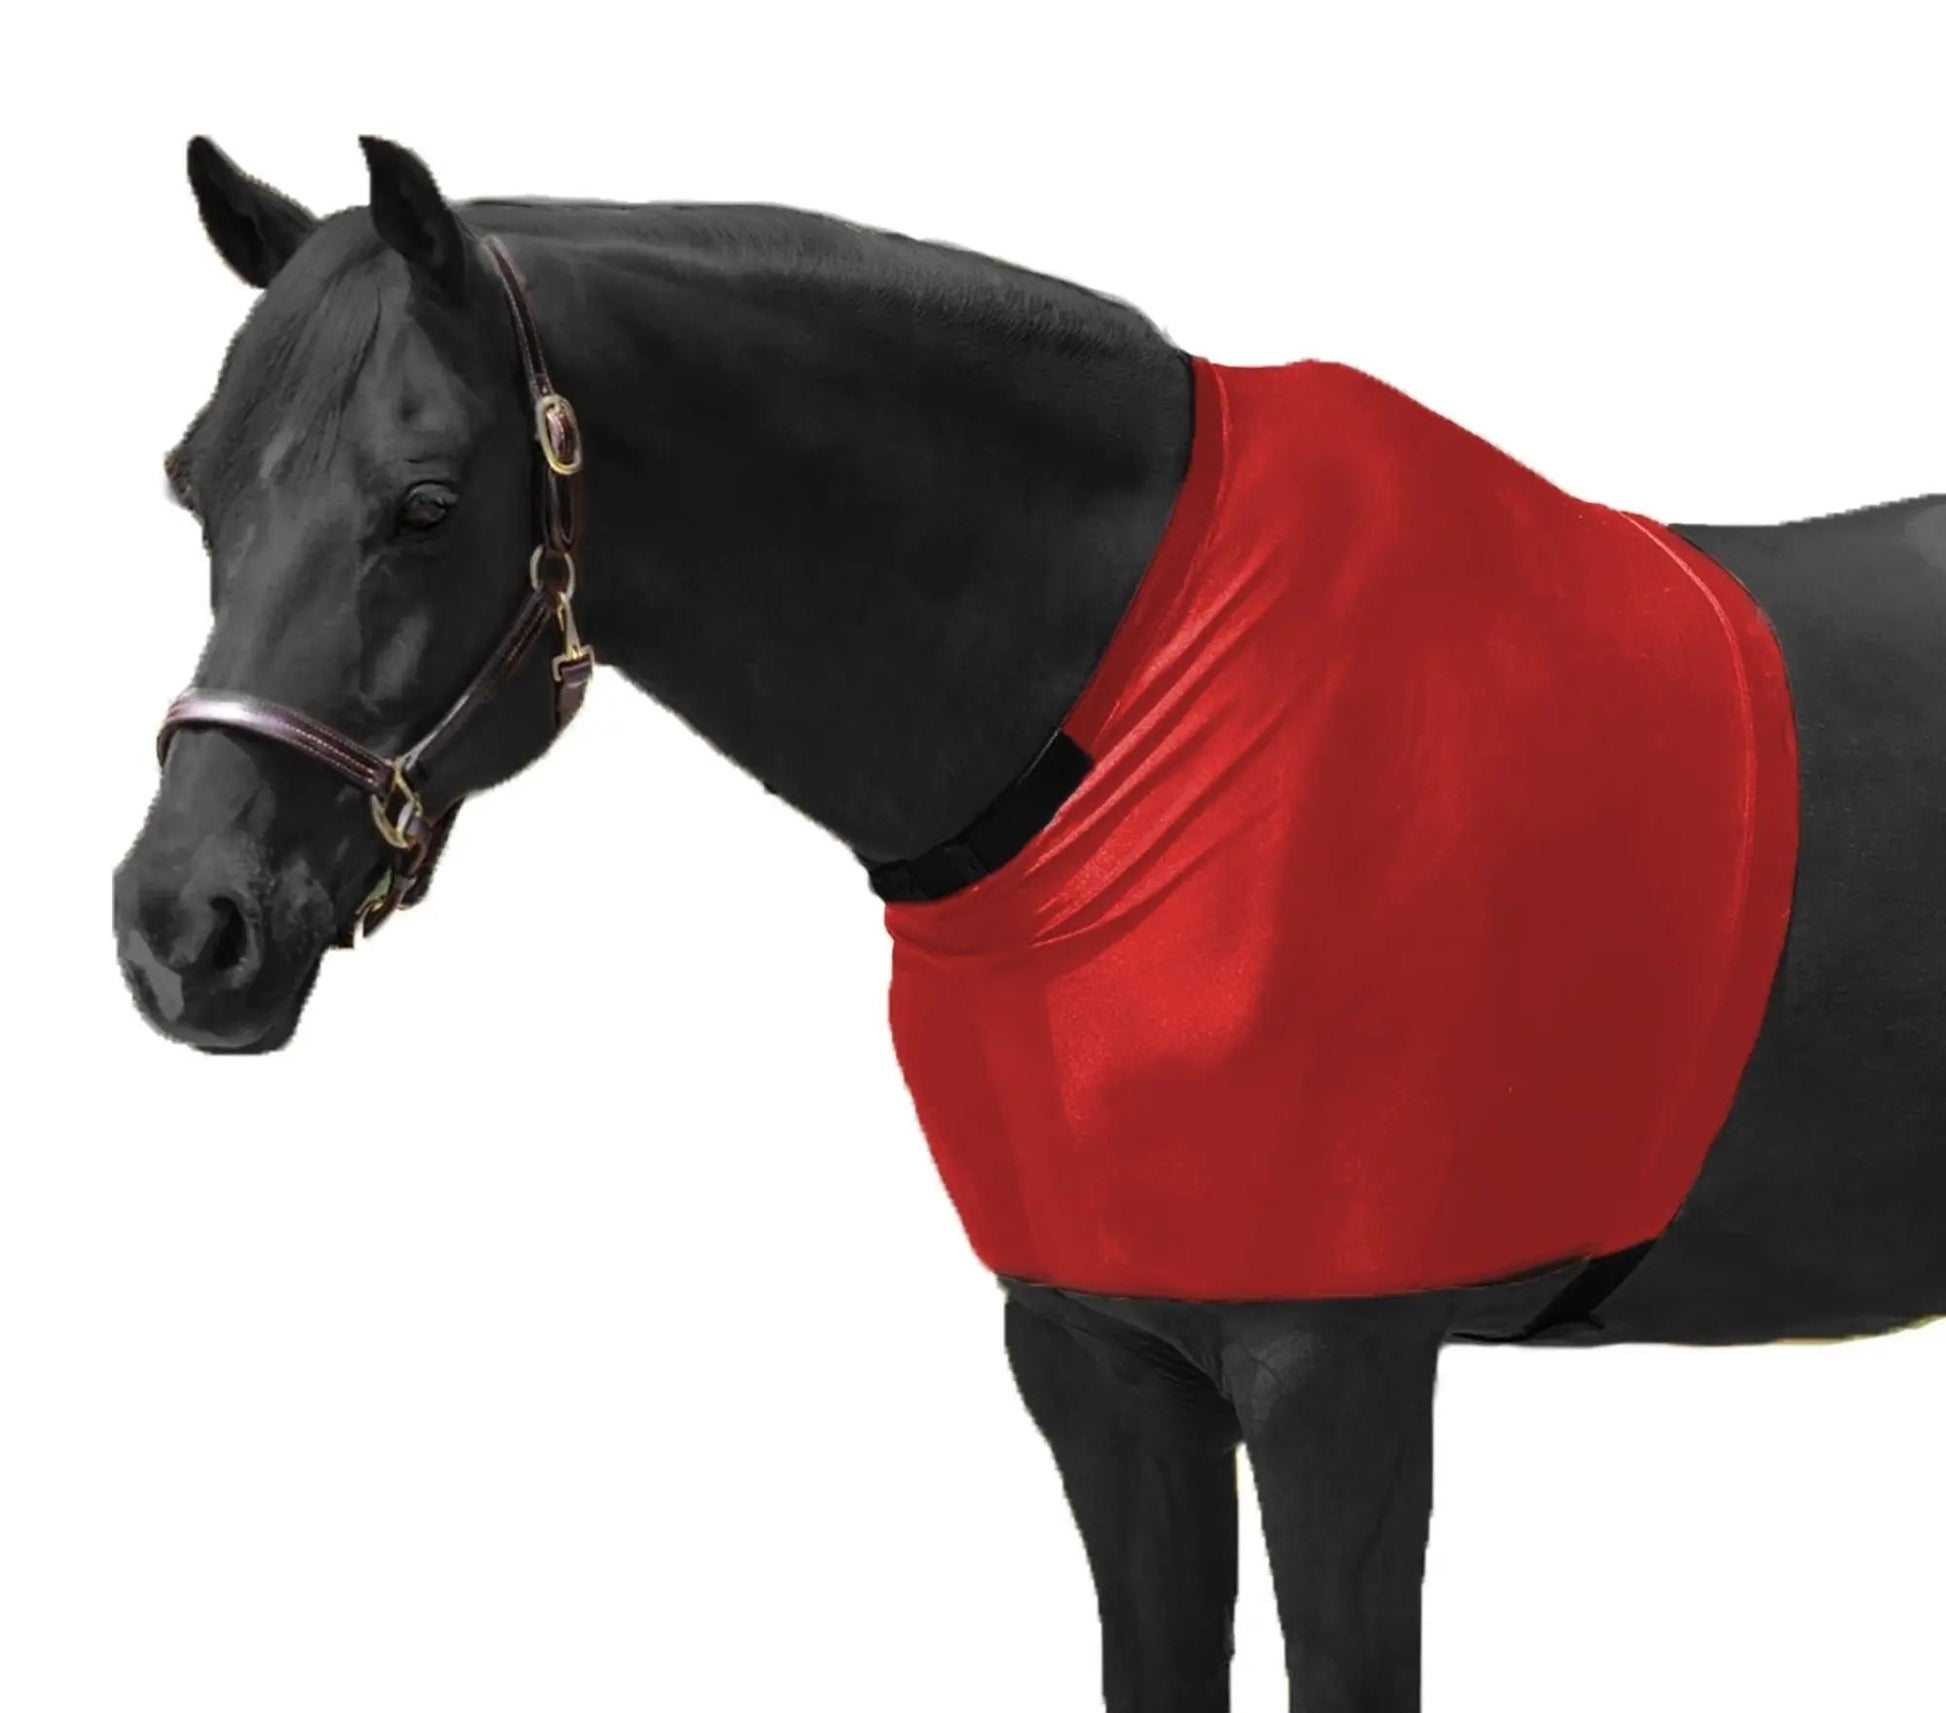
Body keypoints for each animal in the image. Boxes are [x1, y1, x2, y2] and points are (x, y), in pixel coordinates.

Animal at [113, 137, 1945, 1712]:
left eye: (426, 500)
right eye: (192, 486)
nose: (183, 926)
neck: (1128, 720)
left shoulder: (1336, 1377)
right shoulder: (1097, 1355)